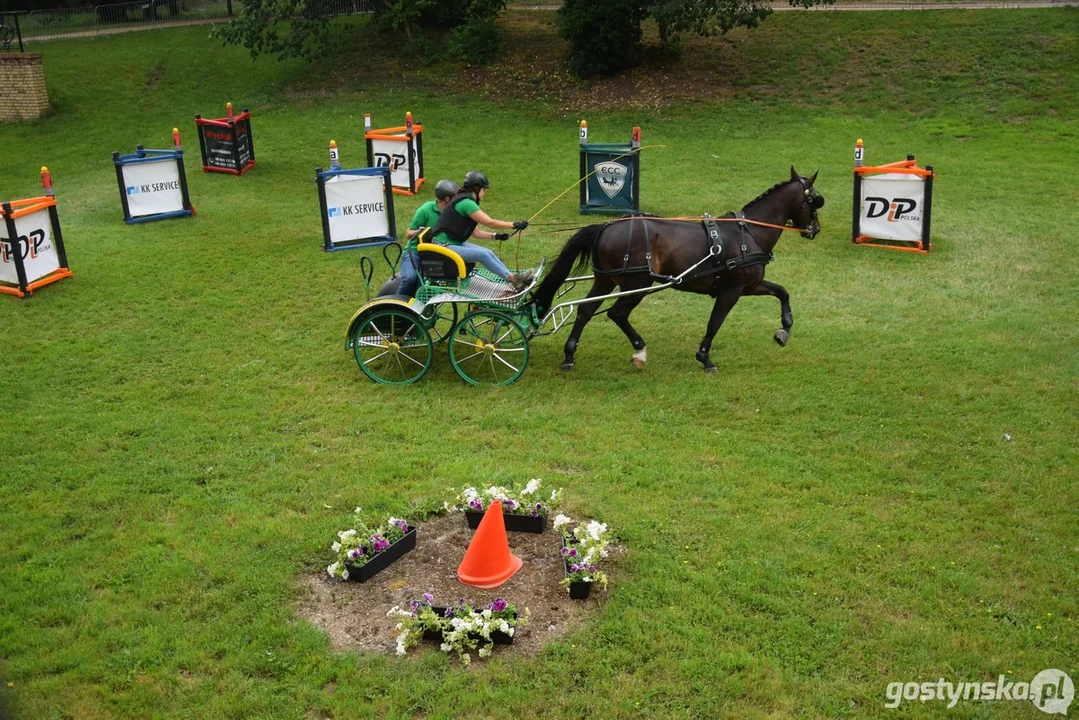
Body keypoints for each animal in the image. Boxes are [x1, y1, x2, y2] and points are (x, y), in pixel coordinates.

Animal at [533, 167, 824, 375]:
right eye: (815, 201)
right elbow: (714, 323)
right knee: (617, 313)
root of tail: (606, 225)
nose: (816, 229)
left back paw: (569, 354)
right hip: (637, 284)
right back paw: (639, 351)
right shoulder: (732, 290)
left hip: (606, 281)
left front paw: (784, 330)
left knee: (585, 310)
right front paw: (705, 358)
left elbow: (782, 292)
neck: (749, 232)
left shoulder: (751, 286)